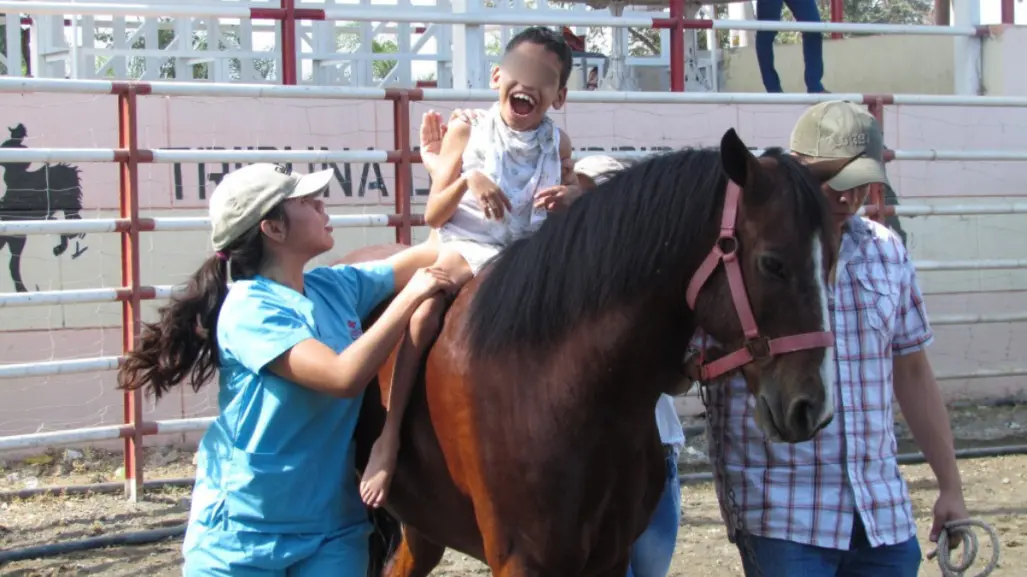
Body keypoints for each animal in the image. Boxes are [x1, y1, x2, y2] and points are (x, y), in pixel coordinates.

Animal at [340, 129, 846, 574]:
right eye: (772, 263)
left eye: (832, 258)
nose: (813, 407)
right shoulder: (521, 562)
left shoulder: (610, 557)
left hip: (421, 530)